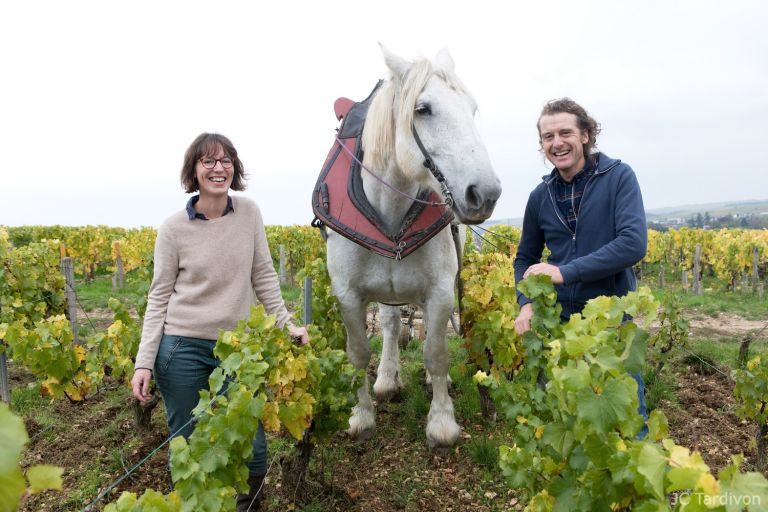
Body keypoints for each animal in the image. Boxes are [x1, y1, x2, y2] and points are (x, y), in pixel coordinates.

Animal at [326, 47, 500, 448]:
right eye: (423, 108)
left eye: (472, 109)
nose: (486, 193)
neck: (389, 211)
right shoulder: (347, 294)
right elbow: (358, 353)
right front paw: (361, 416)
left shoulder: (439, 290)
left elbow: (435, 353)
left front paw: (442, 422)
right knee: (391, 324)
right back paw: (387, 379)